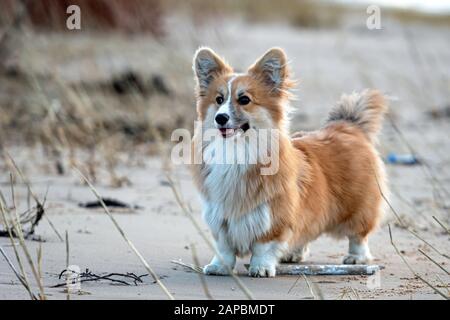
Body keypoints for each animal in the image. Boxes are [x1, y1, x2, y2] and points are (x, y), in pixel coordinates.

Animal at [189, 46, 386, 276]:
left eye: (244, 99)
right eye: (219, 100)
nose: (220, 118)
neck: (237, 151)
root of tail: (347, 126)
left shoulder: (273, 216)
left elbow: (263, 247)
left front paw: (261, 268)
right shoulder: (220, 217)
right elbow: (224, 248)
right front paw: (219, 267)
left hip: (358, 208)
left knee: (358, 236)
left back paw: (356, 258)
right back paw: (293, 254)